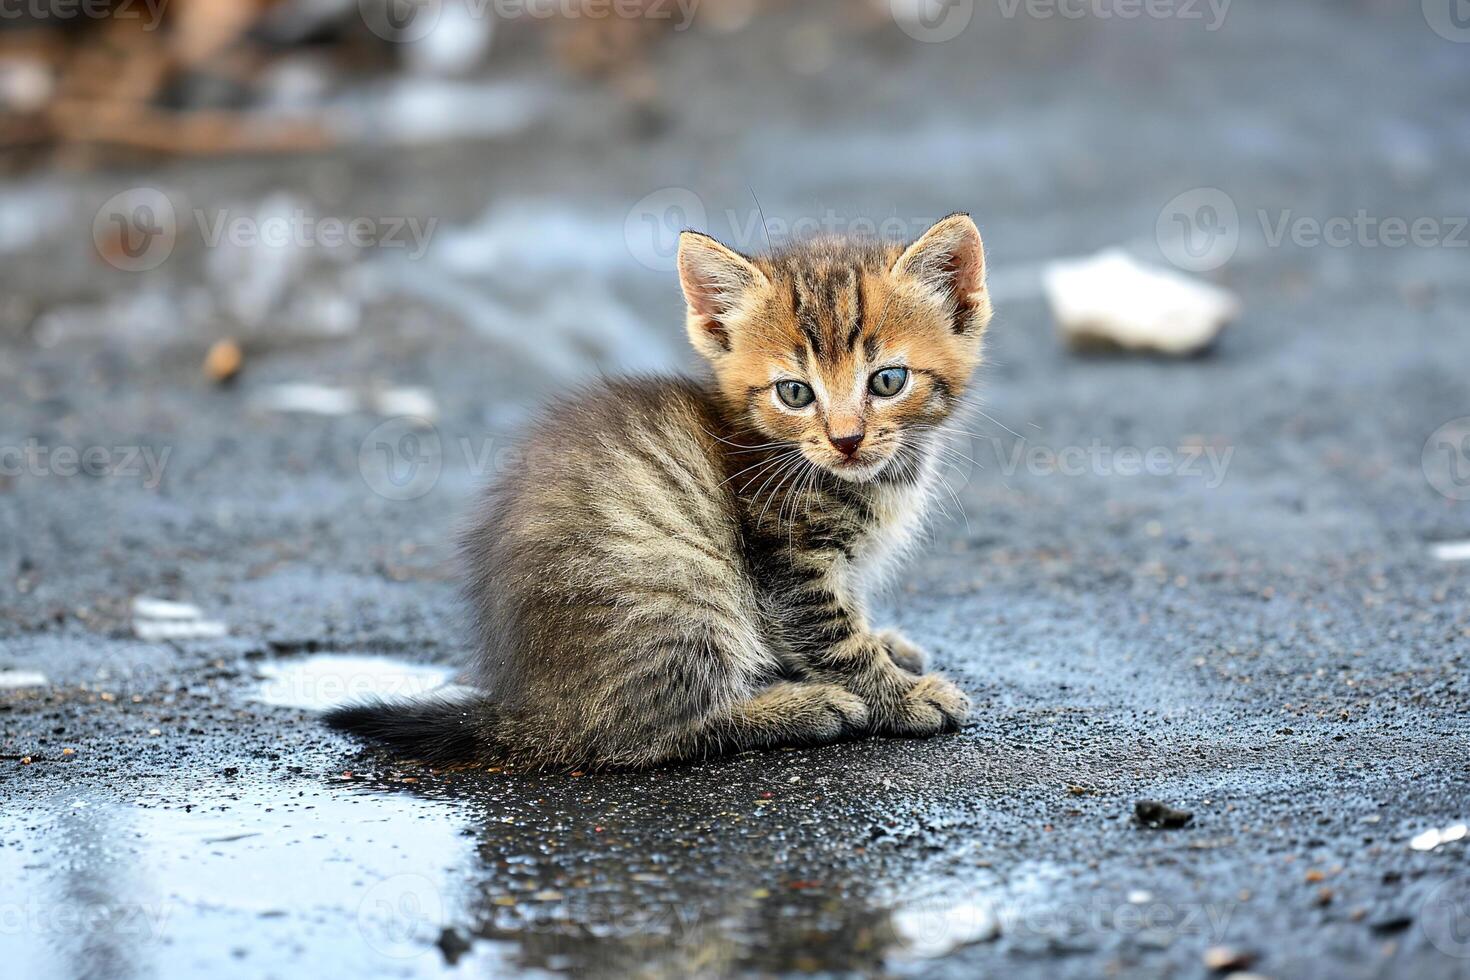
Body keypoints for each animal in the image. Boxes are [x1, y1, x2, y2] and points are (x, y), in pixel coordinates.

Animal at [327, 214, 993, 775]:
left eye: (888, 381)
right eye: (795, 393)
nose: (847, 439)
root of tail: (533, 710)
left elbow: (849, 611)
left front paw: (887, 644)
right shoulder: (787, 565)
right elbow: (832, 640)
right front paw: (900, 697)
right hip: (681, 589)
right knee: (640, 737)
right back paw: (799, 708)